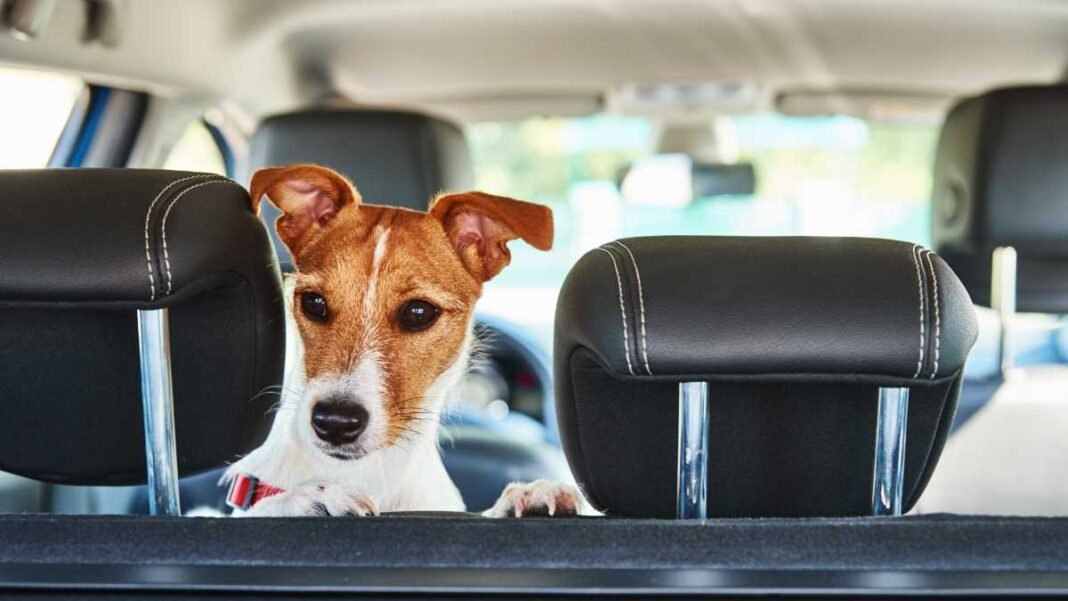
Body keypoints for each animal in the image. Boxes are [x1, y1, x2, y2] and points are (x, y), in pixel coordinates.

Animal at [213, 163, 589, 516]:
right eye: (314, 303)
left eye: (418, 312)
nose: (335, 422)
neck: (367, 475)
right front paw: (305, 498)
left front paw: (526, 497)